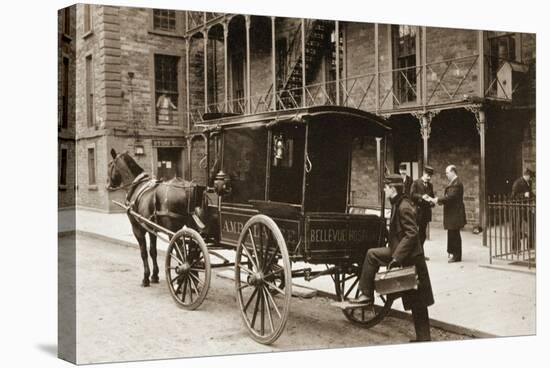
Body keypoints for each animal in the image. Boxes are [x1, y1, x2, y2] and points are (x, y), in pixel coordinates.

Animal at [106, 148, 205, 286]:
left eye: (110, 165)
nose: (108, 185)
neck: (136, 185)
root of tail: (188, 188)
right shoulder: (151, 228)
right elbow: (153, 251)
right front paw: (154, 276)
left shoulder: (137, 228)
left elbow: (143, 252)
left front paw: (146, 278)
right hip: (192, 227)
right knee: (193, 251)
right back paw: (193, 278)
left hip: (173, 231)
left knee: (181, 252)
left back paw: (182, 278)